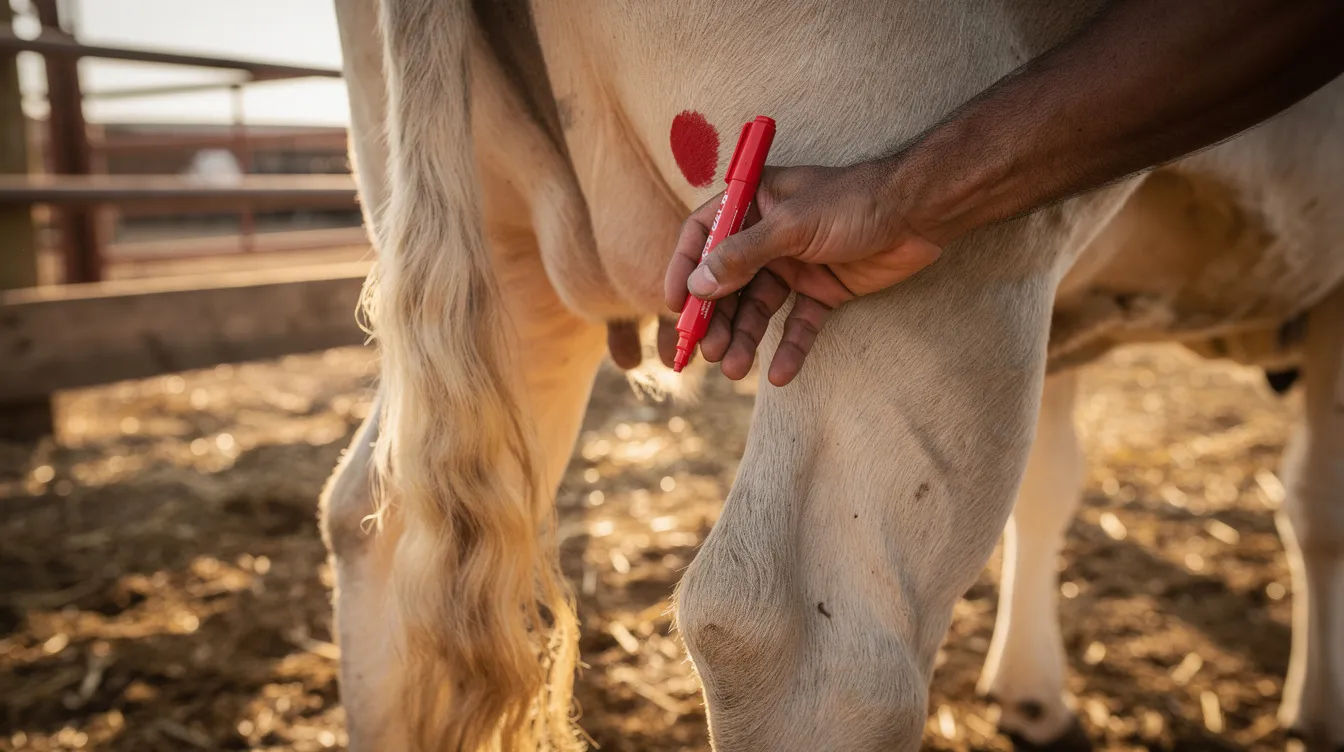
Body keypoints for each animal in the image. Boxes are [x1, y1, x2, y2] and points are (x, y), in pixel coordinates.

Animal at [318, 1, 1344, 750]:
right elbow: (1317, 507)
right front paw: (1318, 708)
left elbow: (1051, 489)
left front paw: (1032, 696)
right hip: (960, 279)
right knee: (802, 642)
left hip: (493, 254)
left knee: (383, 522)